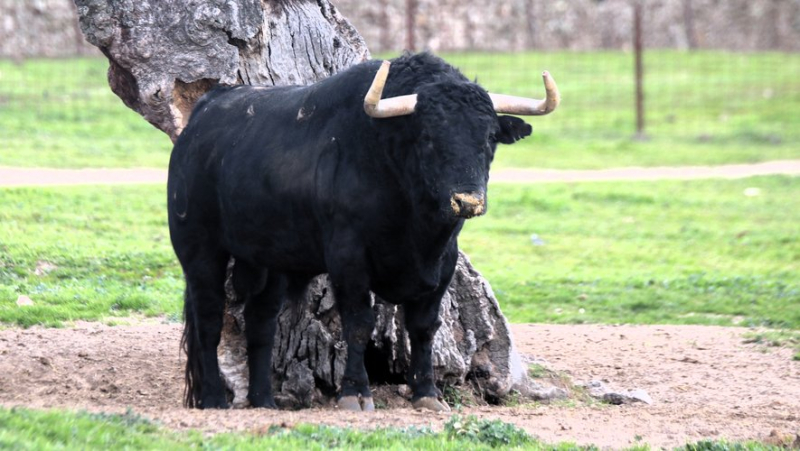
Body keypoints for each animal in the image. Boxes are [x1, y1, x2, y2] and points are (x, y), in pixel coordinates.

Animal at [166, 51, 560, 412]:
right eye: (428, 136)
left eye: (490, 136)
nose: (467, 201)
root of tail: (201, 118)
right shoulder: (349, 260)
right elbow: (358, 323)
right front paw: (355, 392)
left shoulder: (443, 265)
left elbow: (423, 327)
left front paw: (427, 393)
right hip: (200, 250)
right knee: (208, 319)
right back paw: (213, 398)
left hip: (269, 260)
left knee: (260, 323)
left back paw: (263, 400)